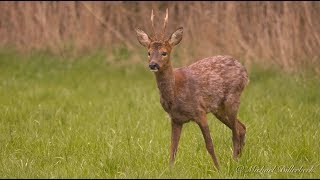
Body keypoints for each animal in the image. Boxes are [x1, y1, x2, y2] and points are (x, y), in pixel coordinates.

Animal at [134, 8, 249, 170]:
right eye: (148, 53)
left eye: (164, 53)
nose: (153, 65)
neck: (175, 92)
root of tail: (244, 70)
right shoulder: (175, 118)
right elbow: (173, 148)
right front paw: (170, 170)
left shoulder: (200, 111)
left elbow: (209, 145)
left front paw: (218, 169)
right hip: (218, 109)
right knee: (241, 128)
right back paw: (238, 160)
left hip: (233, 98)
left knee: (235, 132)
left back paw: (233, 162)